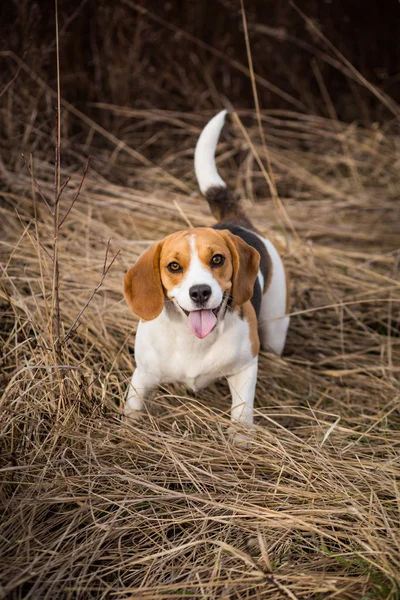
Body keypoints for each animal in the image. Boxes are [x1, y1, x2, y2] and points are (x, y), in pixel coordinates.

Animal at [123, 111, 290, 432]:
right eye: (174, 266)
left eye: (217, 259)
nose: (200, 292)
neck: (194, 341)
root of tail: (236, 222)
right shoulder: (143, 376)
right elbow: (132, 410)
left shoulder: (245, 369)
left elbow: (241, 416)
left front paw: (239, 440)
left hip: (275, 328)